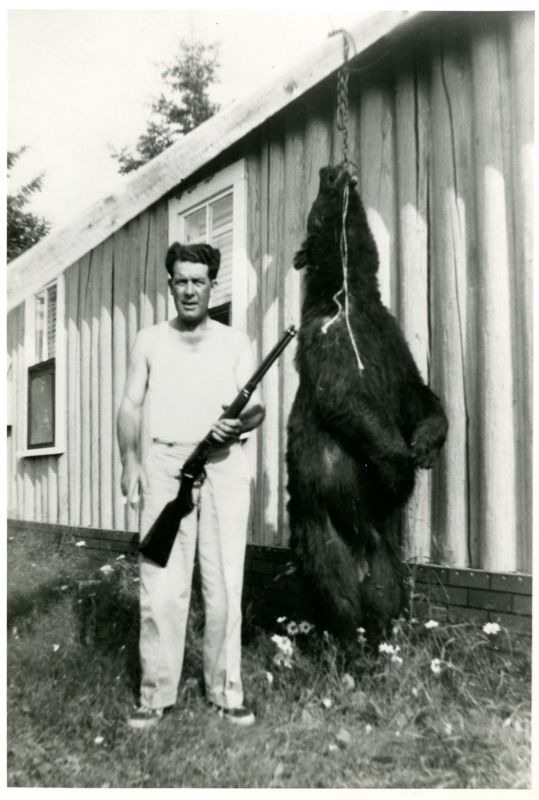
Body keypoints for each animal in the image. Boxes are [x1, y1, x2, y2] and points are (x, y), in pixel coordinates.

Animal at [286, 163, 448, 643]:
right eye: (319, 210)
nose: (333, 169)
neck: (351, 294)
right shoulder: (330, 338)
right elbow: (345, 397)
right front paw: (401, 472)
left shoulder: (389, 339)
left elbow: (418, 393)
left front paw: (426, 444)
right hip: (318, 523)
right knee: (334, 589)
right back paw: (341, 642)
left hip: (385, 550)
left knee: (388, 592)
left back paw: (382, 637)